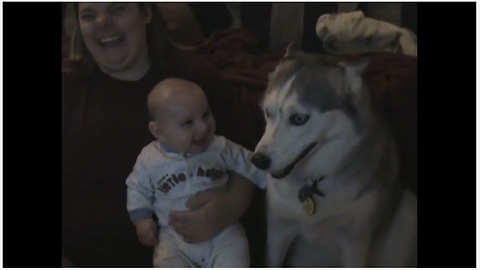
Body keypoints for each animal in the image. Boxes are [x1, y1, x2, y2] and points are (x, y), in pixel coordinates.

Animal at [251, 43, 416, 266]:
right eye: (268, 112)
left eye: (299, 118)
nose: (258, 160)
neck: (313, 181)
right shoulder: (279, 229)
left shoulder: (354, 242)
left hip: (409, 208)